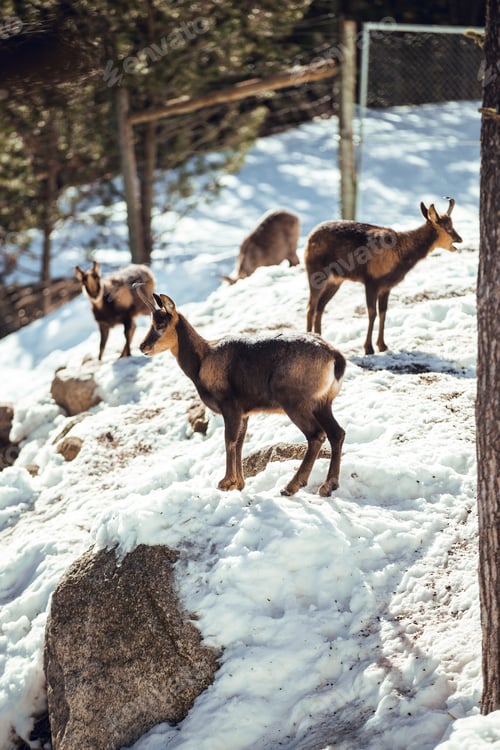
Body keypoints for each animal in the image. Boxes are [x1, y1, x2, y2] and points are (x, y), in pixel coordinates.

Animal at [138, 291, 346, 497]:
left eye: (160, 325)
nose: (143, 346)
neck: (203, 360)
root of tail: (334, 356)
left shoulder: (230, 406)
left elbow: (229, 440)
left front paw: (226, 482)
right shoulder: (244, 413)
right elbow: (239, 442)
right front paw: (238, 484)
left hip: (294, 403)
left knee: (316, 434)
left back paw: (291, 487)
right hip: (322, 404)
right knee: (337, 433)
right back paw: (328, 485)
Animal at [305, 198, 462, 354]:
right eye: (447, 227)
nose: (459, 239)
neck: (400, 257)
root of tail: (309, 238)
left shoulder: (386, 286)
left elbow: (383, 312)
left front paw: (382, 345)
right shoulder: (371, 281)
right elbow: (372, 313)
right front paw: (368, 348)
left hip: (335, 281)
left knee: (320, 306)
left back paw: (320, 338)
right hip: (316, 273)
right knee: (311, 307)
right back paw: (310, 337)